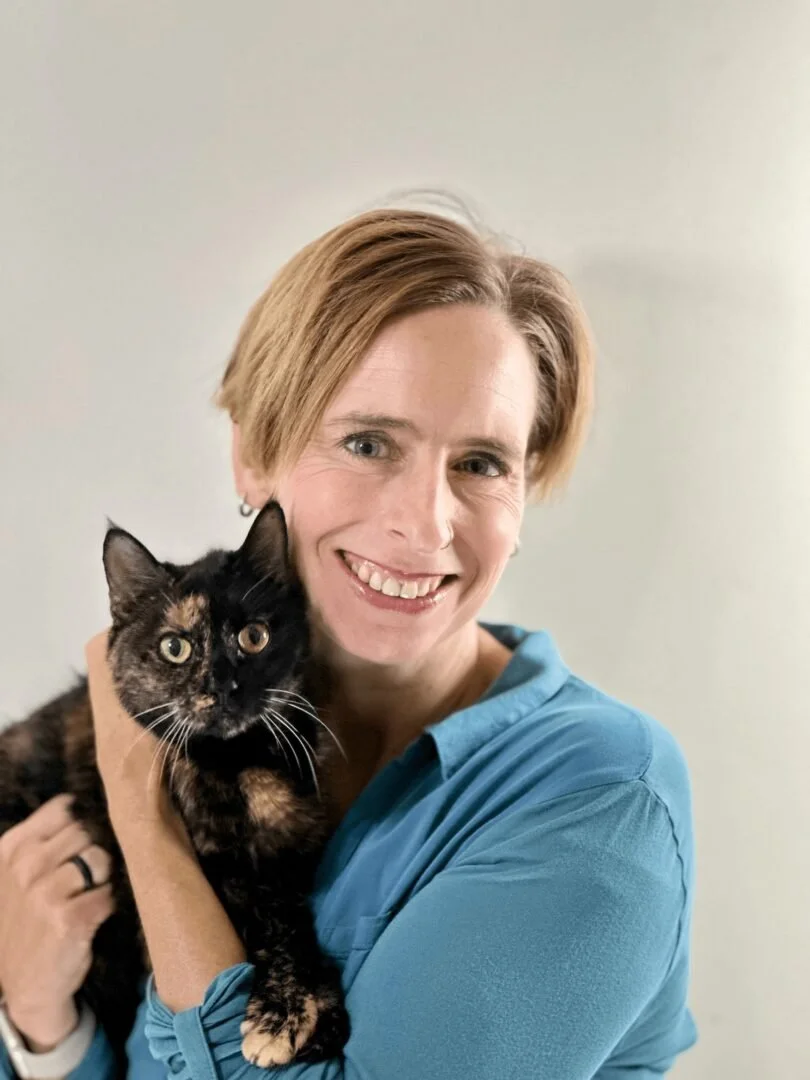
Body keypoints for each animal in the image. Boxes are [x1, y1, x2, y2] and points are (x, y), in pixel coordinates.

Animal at [0, 500, 350, 1075]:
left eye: (254, 637)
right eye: (175, 647)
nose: (220, 685)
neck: (241, 763)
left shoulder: (290, 860)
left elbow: (294, 923)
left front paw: (320, 1019)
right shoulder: (226, 877)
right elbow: (272, 928)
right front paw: (284, 1016)